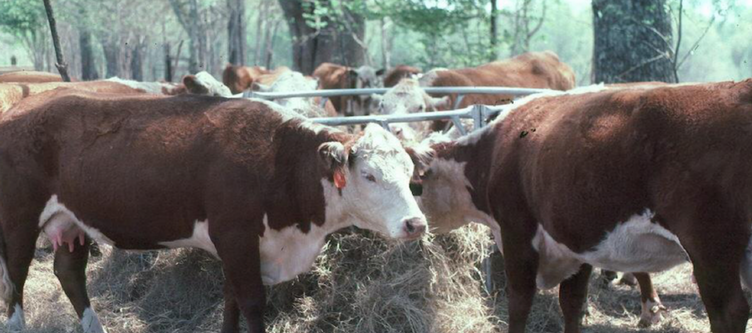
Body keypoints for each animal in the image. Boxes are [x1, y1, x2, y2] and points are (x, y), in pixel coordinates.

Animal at [0, 89, 426, 332]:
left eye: (409, 174)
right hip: (18, 219)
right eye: (369, 175)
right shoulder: (235, 236)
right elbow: (251, 303)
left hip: (71, 222)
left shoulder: (241, 248)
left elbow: (231, 303)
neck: (281, 160)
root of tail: (19, 108)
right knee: (15, 280)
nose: (415, 223)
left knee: (69, 273)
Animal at [408, 80, 752, 332]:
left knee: (729, 312)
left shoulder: (516, 231)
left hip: (710, 247)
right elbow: (572, 303)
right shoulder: (577, 240)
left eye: (413, 186)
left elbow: (519, 302)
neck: (493, 152)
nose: (413, 227)